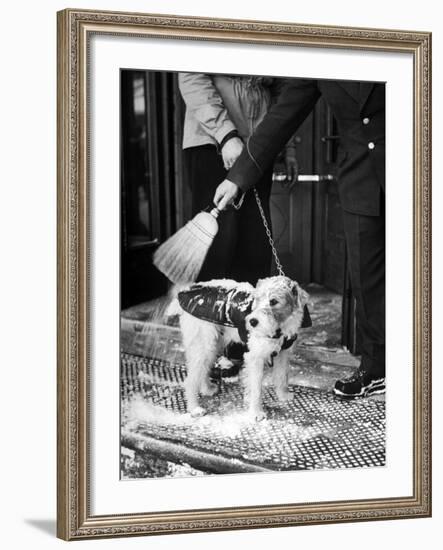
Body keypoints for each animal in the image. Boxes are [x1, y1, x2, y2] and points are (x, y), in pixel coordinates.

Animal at [168, 276, 310, 422]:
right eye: (257, 299)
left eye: (274, 301)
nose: (252, 322)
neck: (280, 327)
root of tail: (185, 291)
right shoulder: (255, 357)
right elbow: (256, 388)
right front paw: (256, 413)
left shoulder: (283, 353)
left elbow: (282, 376)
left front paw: (283, 396)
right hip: (204, 345)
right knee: (190, 380)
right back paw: (194, 409)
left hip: (212, 346)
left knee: (202, 370)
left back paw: (207, 389)